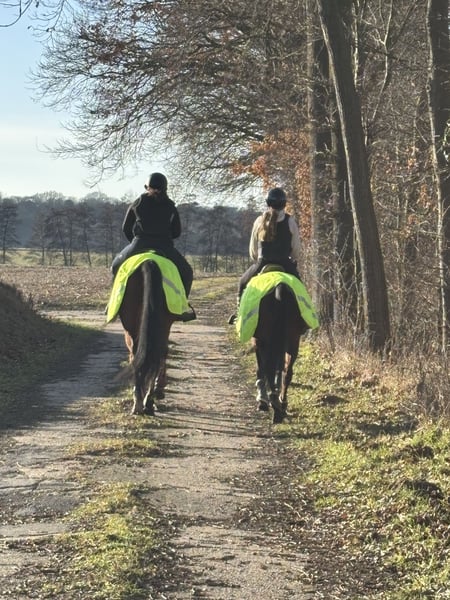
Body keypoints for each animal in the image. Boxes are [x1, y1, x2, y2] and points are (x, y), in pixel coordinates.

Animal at [251, 280, 308, 424]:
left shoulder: (258, 341)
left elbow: (261, 368)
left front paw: (262, 399)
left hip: (265, 341)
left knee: (270, 369)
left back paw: (274, 404)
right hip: (293, 341)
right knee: (287, 372)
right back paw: (281, 403)